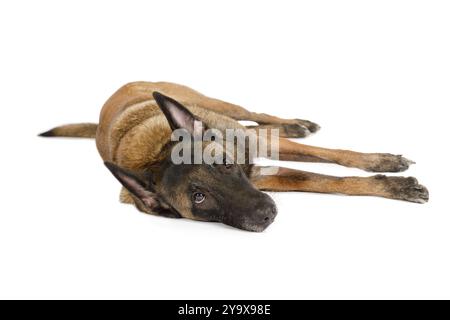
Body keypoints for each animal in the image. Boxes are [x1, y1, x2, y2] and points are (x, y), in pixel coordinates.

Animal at [39, 81, 428, 231]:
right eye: (199, 197)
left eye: (225, 164)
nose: (267, 214)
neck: (158, 151)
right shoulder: (265, 179)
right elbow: (322, 181)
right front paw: (393, 186)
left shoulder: (256, 148)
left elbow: (337, 156)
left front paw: (383, 163)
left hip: (220, 105)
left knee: (256, 114)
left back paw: (296, 123)